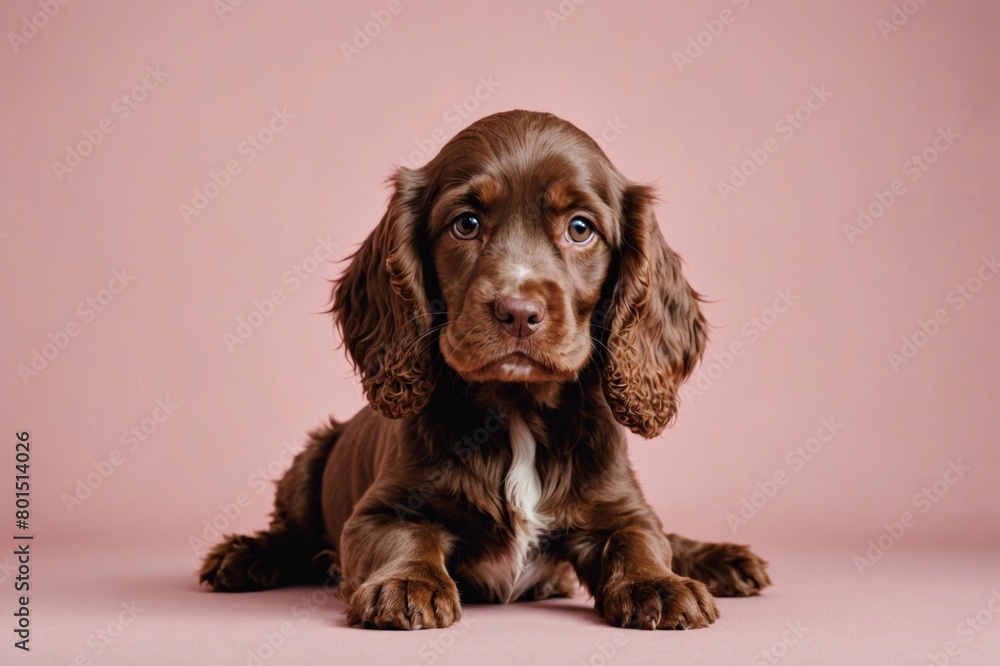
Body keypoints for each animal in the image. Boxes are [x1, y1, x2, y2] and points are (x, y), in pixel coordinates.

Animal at [199, 109, 768, 628]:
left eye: (580, 228)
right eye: (466, 224)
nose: (518, 312)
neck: (516, 412)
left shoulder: (622, 506)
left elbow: (642, 539)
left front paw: (660, 585)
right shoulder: (377, 511)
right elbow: (406, 534)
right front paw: (405, 585)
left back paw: (722, 560)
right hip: (311, 457)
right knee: (293, 532)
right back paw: (245, 555)